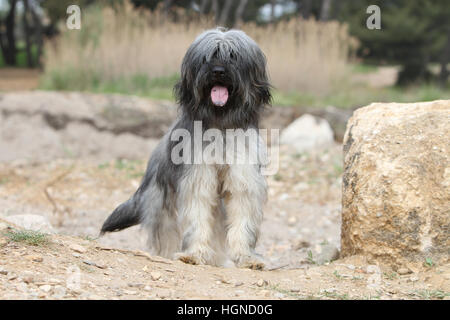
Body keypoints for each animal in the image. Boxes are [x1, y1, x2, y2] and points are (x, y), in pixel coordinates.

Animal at [100, 27, 270, 268]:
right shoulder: (197, 179)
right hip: (160, 202)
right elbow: (197, 217)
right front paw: (194, 254)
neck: (220, 125)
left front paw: (247, 257)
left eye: (233, 56)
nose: (218, 71)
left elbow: (243, 220)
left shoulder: (243, 181)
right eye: (207, 57)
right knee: (166, 231)